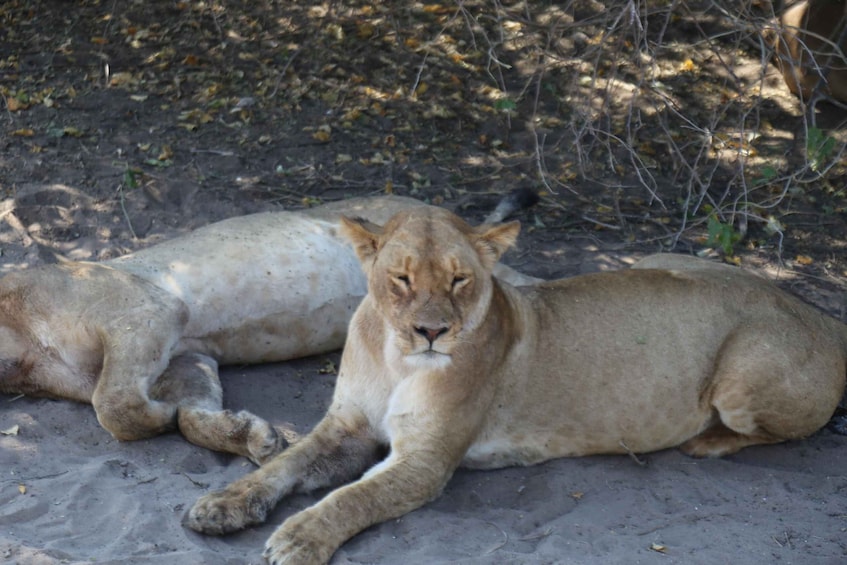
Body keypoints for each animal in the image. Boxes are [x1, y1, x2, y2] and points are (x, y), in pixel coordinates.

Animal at [0, 195, 536, 462]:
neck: (21, 352)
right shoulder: (185, 357)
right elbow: (190, 415)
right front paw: (250, 436)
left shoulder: (148, 308)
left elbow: (112, 406)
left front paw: (158, 418)